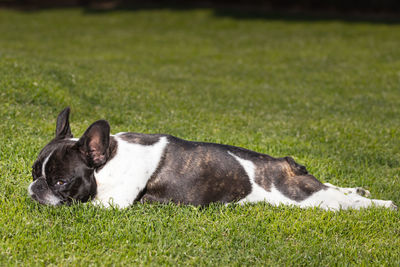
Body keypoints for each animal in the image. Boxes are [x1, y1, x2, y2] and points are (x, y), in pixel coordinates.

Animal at [28, 107, 396, 211]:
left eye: (61, 182)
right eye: (33, 172)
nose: (34, 188)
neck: (109, 159)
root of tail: (285, 162)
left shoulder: (111, 204)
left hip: (305, 199)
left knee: (341, 201)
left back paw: (380, 204)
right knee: (334, 187)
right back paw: (359, 191)